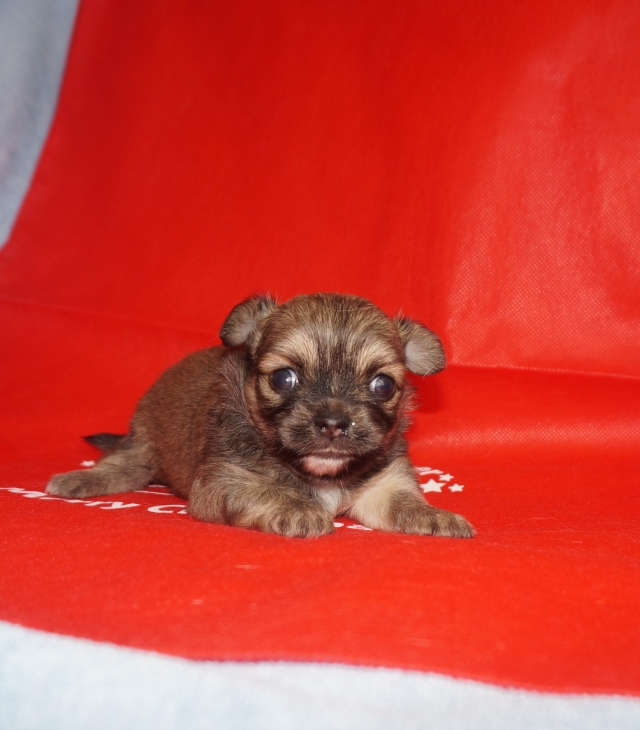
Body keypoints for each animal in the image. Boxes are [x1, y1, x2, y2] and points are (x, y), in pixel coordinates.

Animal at [47, 293, 474, 539]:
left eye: (383, 385)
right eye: (284, 378)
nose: (333, 423)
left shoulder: (384, 485)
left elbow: (403, 503)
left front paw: (435, 515)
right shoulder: (225, 481)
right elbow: (266, 489)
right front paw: (296, 508)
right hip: (143, 443)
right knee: (121, 465)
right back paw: (78, 480)